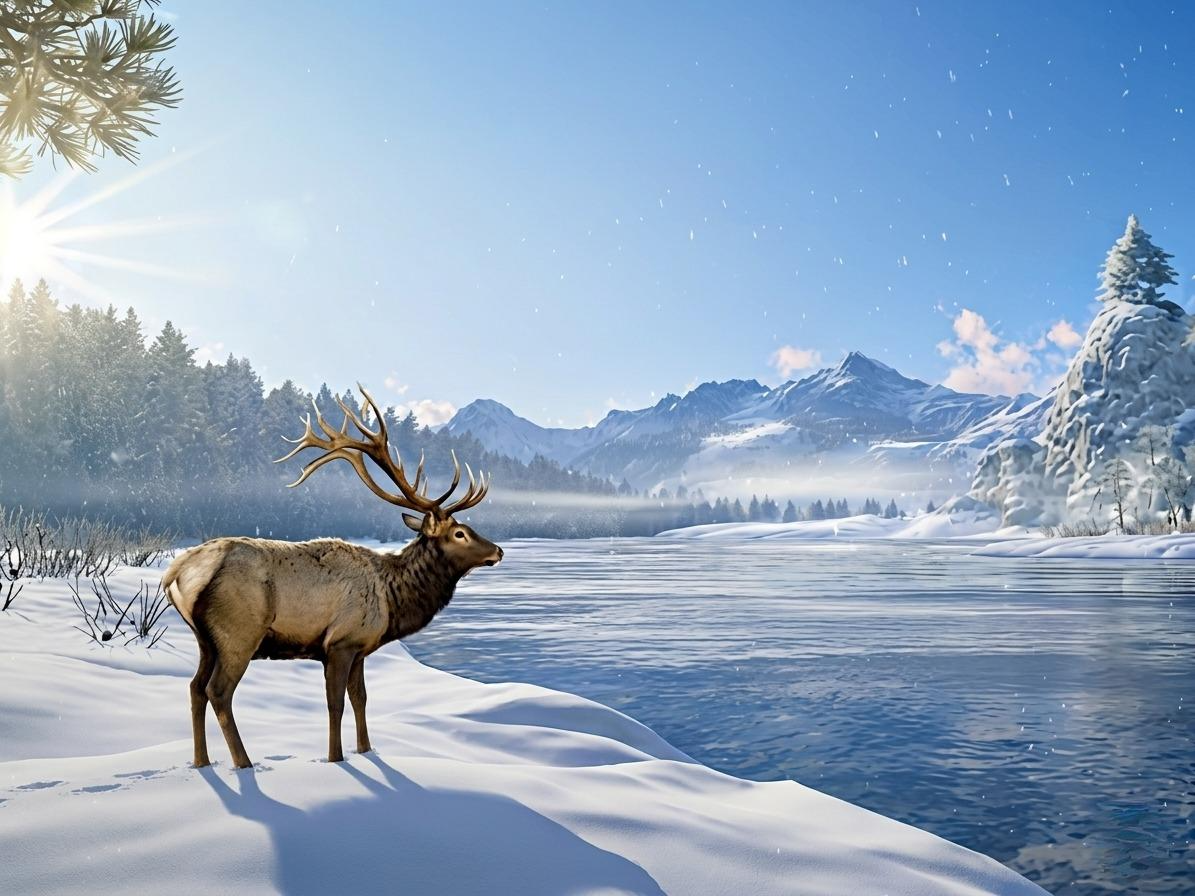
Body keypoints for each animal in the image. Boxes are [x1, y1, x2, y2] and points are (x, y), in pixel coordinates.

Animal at [162, 385, 503, 770]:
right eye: (460, 533)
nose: (498, 551)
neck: (392, 600)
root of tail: (175, 573)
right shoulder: (341, 642)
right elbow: (335, 704)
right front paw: (335, 758)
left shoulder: (361, 648)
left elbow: (361, 699)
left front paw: (366, 750)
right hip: (238, 632)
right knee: (218, 691)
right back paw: (244, 763)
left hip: (205, 639)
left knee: (194, 688)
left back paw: (201, 762)